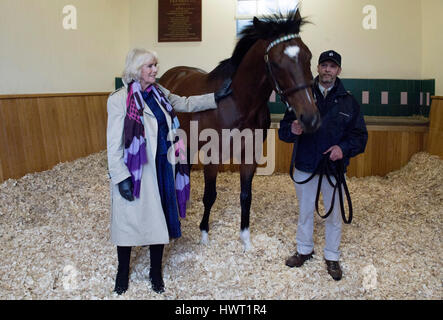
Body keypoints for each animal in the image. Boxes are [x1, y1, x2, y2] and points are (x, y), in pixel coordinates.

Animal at [160, 9, 320, 250]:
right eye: (276, 63)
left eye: (308, 57)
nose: (310, 118)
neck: (238, 103)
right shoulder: (212, 156)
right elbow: (210, 195)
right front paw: (204, 234)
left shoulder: (250, 156)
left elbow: (246, 196)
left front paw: (245, 239)